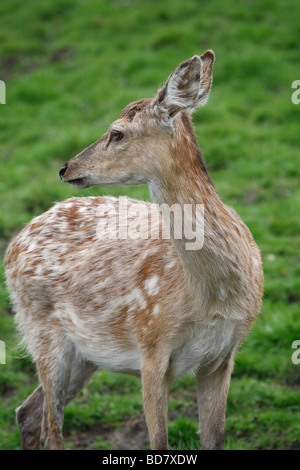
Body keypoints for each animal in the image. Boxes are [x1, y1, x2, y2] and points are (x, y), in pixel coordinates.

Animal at [4, 49, 262, 450]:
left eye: (116, 133)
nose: (65, 167)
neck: (212, 296)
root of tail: (15, 242)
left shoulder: (223, 356)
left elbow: (214, 439)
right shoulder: (151, 348)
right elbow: (159, 442)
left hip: (85, 353)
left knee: (27, 413)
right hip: (40, 329)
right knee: (51, 428)